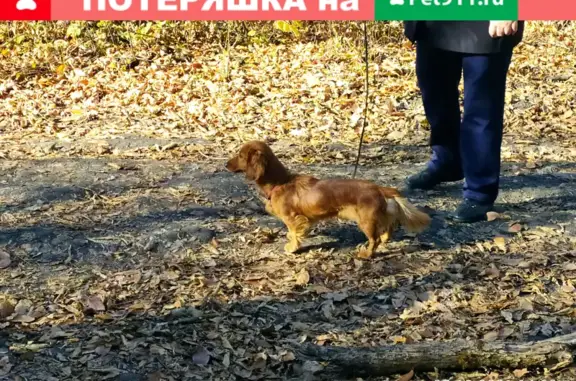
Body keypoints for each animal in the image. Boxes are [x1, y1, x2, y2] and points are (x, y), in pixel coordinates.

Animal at [227, 140, 430, 258]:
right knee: (387, 231)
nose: (226, 165)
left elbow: (294, 232)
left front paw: (292, 247)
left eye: (241, 155)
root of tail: (379, 188)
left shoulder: (292, 218)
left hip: (365, 221)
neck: (281, 182)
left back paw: (365, 254)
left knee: (376, 240)